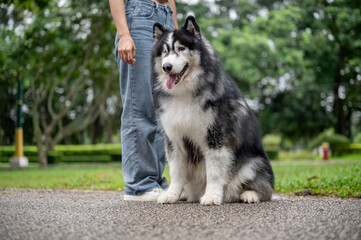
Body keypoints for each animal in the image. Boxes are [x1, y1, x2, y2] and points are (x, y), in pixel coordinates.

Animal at [150, 15, 272, 205]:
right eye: (164, 51)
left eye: (181, 48)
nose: (166, 67)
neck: (185, 92)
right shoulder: (174, 139)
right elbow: (176, 172)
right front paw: (172, 194)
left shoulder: (215, 136)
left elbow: (214, 172)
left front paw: (212, 196)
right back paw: (184, 194)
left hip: (253, 164)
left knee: (264, 189)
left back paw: (249, 195)